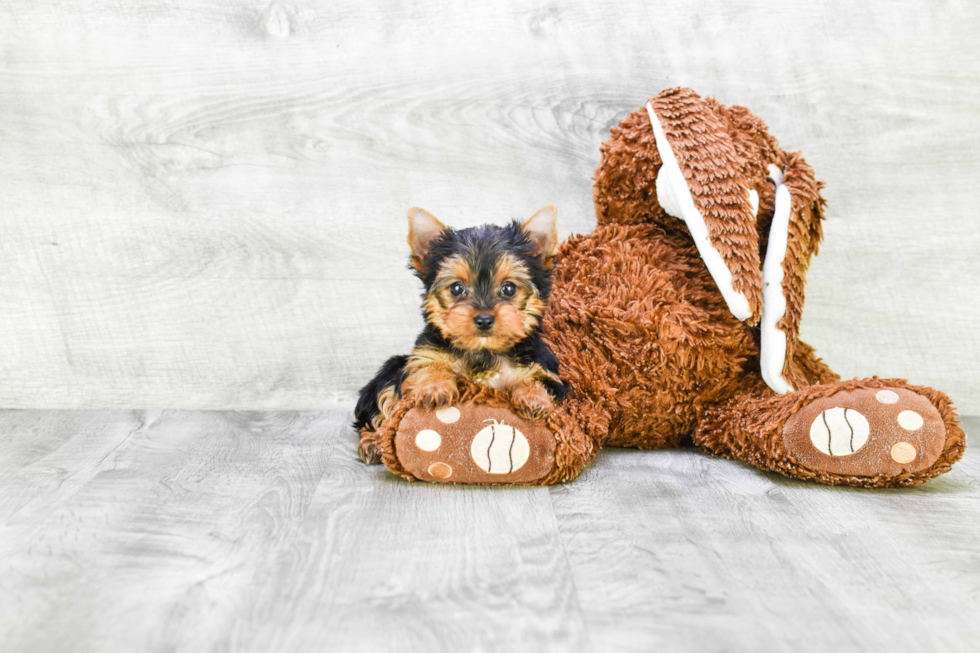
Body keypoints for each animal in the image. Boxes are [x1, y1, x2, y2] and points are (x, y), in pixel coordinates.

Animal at [354, 206, 568, 460]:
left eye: (509, 288)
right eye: (457, 288)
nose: (484, 319)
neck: (483, 351)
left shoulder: (547, 369)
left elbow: (539, 379)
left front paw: (533, 397)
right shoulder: (423, 356)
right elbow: (426, 367)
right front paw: (434, 387)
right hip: (390, 370)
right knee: (379, 410)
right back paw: (373, 443)